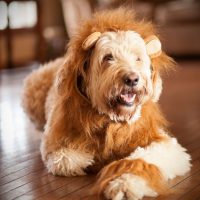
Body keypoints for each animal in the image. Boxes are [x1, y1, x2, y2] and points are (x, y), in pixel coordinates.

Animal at [21, 7, 191, 200]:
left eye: (138, 58)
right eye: (108, 57)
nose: (132, 79)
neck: (111, 120)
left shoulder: (162, 142)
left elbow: (142, 159)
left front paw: (124, 183)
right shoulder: (55, 141)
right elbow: (65, 158)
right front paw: (87, 159)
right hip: (32, 89)